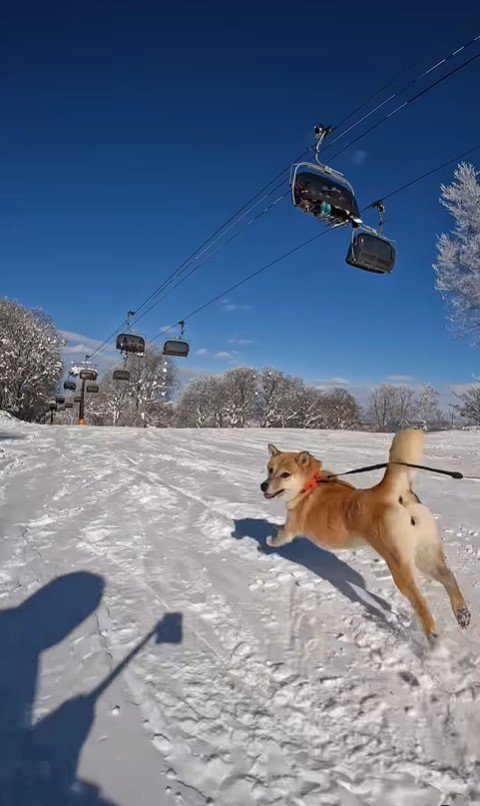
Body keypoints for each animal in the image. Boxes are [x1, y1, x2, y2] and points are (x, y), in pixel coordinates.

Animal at [260, 430, 470, 636]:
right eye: (270, 469)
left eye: (285, 474)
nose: (263, 485)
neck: (309, 485)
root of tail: (387, 492)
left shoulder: (291, 528)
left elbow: (280, 536)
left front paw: (268, 539)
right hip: (424, 553)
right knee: (448, 577)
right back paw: (462, 613)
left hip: (399, 564)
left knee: (421, 604)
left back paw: (433, 639)